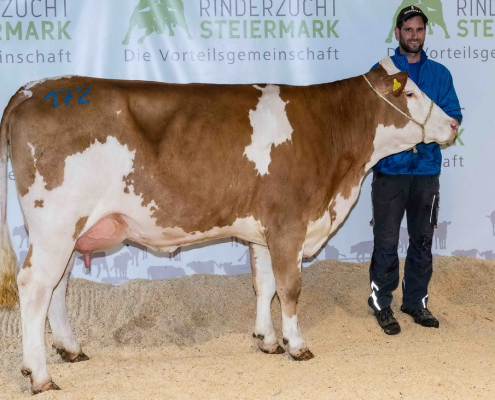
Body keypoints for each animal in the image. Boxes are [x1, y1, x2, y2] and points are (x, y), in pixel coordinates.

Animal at [0, 57, 460, 394]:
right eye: (412, 92)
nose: (455, 123)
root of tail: (31, 89)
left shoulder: (263, 229)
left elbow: (264, 284)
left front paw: (267, 340)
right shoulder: (288, 223)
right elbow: (290, 287)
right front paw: (296, 345)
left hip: (69, 230)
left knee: (57, 285)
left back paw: (70, 350)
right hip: (55, 222)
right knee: (35, 285)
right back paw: (40, 375)